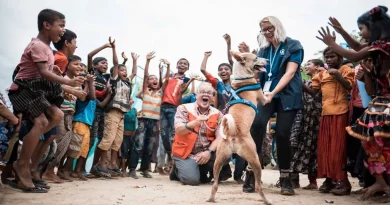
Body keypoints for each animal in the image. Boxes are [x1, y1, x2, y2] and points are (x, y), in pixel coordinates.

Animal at [207, 50, 272, 204]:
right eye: (256, 58)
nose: (267, 60)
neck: (242, 78)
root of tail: (233, 133)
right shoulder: (263, 98)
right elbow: (267, 96)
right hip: (255, 159)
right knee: (258, 186)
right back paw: (266, 200)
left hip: (219, 160)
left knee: (215, 184)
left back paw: (211, 198)